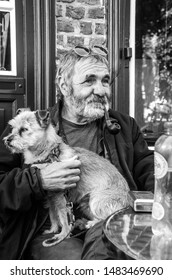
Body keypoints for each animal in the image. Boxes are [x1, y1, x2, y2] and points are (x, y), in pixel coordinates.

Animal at [3, 108, 130, 246]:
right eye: (12, 128)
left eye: (24, 129)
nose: (7, 139)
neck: (48, 154)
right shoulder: (50, 197)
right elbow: (53, 215)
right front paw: (53, 230)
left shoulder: (60, 198)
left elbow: (63, 219)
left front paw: (63, 235)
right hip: (86, 203)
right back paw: (83, 223)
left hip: (97, 200)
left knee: (105, 219)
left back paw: (90, 224)